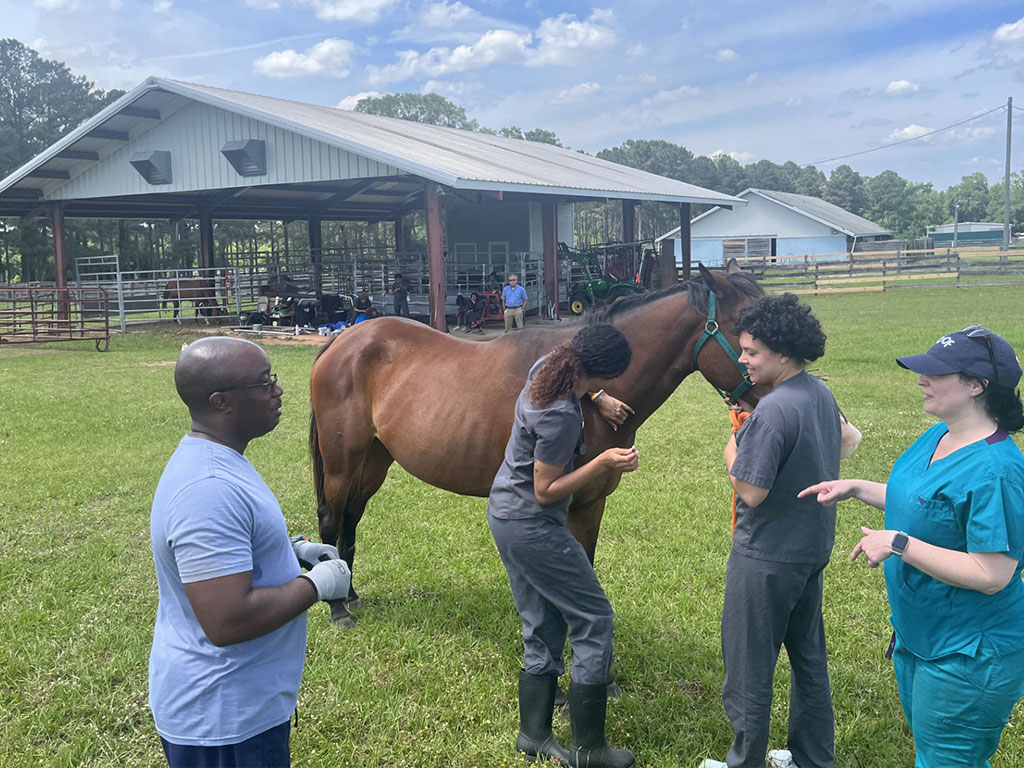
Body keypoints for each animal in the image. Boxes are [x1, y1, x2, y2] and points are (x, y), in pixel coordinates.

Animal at [308, 262, 768, 628]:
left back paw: (349, 594)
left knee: (351, 519)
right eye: (745, 328)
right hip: (342, 462)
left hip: (373, 461)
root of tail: (345, 339)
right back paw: (338, 610)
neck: (584, 387)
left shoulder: (591, 502)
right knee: (332, 519)